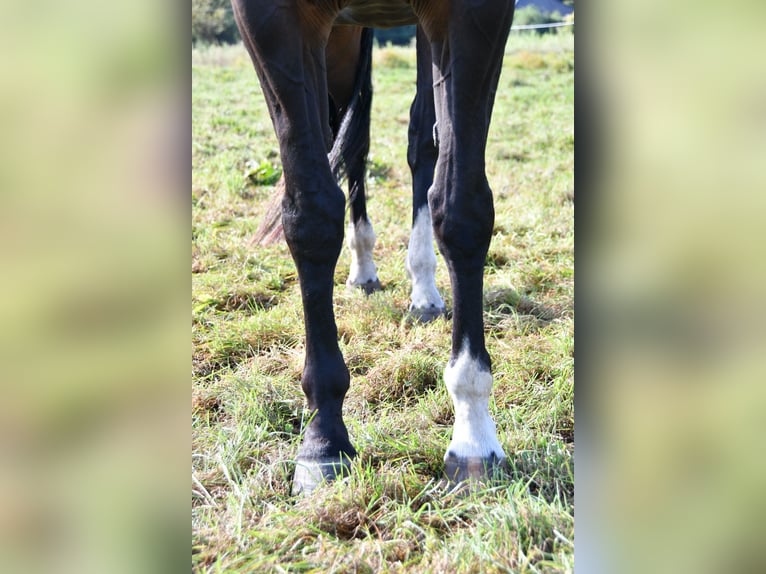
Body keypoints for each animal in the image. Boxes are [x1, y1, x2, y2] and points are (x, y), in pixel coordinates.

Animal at [230, 0, 516, 496]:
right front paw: (323, 439)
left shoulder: (477, 15)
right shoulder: (270, 20)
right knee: (352, 142)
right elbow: (311, 216)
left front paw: (474, 437)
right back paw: (363, 266)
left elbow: (461, 208)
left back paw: (423, 288)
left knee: (419, 138)